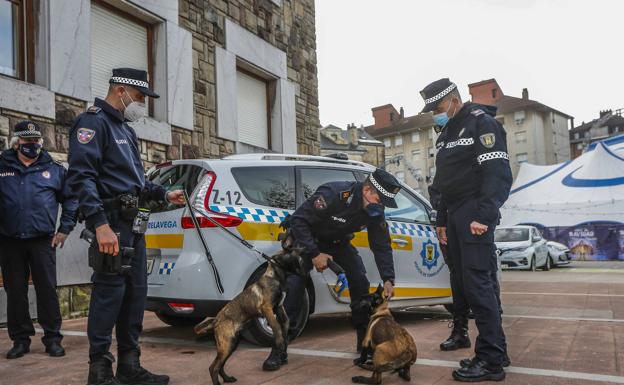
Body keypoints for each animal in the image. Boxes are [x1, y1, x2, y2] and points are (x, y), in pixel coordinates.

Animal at [193, 244, 304, 382]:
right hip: (226, 345)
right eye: (292, 250)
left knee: (220, 366)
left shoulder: (279, 308)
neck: (275, 277)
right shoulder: (267, 308)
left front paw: (285, 341)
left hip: (231, 344)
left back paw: (228, 379)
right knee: (213, 368)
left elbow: (284, 322)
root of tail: (216, 320)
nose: (304, 249)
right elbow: (276, 327)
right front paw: (279, 342)